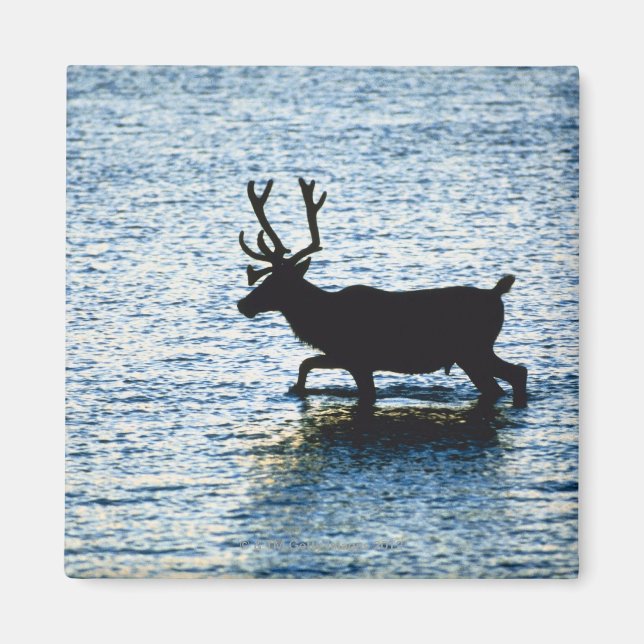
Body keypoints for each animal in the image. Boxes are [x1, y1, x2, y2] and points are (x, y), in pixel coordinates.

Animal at [236, 178, 528, 407]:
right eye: (267, 278)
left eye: (278, 284)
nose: (243, 304)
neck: (322, 322)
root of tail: (496, 294)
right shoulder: (345, 358)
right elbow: (306, 362)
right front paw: (296, 388)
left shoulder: (358, 359)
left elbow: (311, 365)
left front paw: (297, 389)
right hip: (472, 353)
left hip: (474, 350)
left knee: (517, 373)